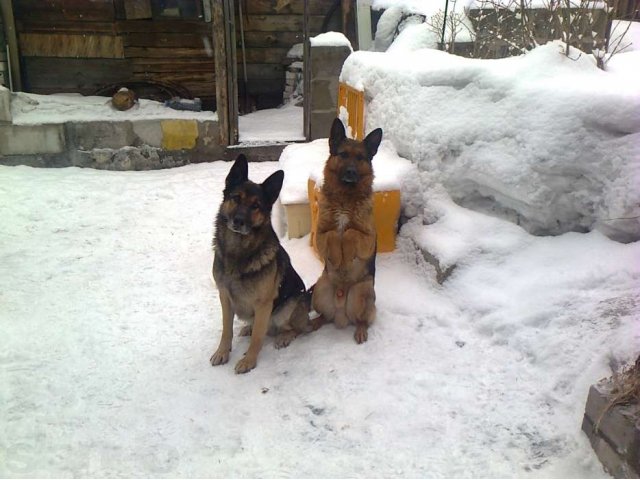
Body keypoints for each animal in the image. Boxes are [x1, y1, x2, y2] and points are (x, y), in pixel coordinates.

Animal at [210, 156, 310, 374]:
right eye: (236, 198)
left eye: (256, 206)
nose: (238, 221)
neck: (238, 252)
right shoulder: (225, 296)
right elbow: (226, 329)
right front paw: (222, 352)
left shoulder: (263, 303)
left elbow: (258, 336)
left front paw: (248, 361)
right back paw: (248, 327)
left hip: (287, 306)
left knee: (297, 329)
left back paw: (284, 336)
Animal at [312, 118, 382, 344]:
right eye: (343, 155)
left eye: (360, 158)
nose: (351, 172)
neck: (345, 198)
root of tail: (341, 311)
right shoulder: (320, 237)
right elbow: (335, 233)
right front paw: (337, 256)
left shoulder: (368, 239)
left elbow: (350, 232)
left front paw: (347, 253)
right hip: (320, 288)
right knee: (325, 316)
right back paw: (314, 323)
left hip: (363, 291)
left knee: (362, 319)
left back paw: (360, 330)